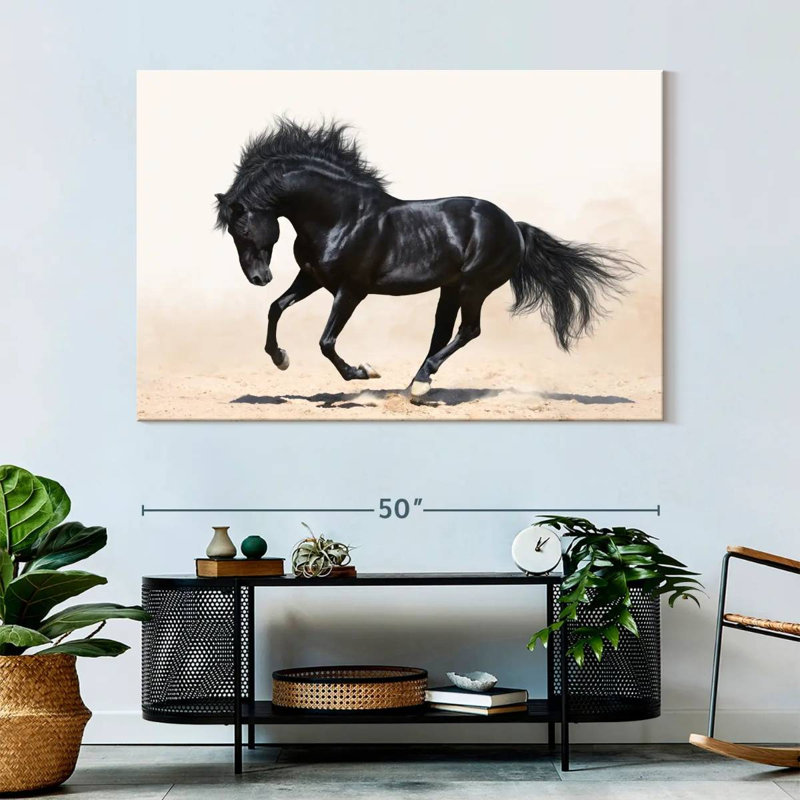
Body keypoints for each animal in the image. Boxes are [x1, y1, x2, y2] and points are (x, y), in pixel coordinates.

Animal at [215, 118, 634, 400]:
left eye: (243, 229)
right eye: (233, 233)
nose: (259, 277)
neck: (341, 216)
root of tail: (513, 226)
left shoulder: (351, 290)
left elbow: (326, 341)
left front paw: (364, 372)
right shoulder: (313, 278)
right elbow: (275, 308)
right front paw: (280, 358)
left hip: (474, 286)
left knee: (468, 331)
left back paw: (418, 384)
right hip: (450, 288)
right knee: (442, 333)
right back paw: (414, 386)